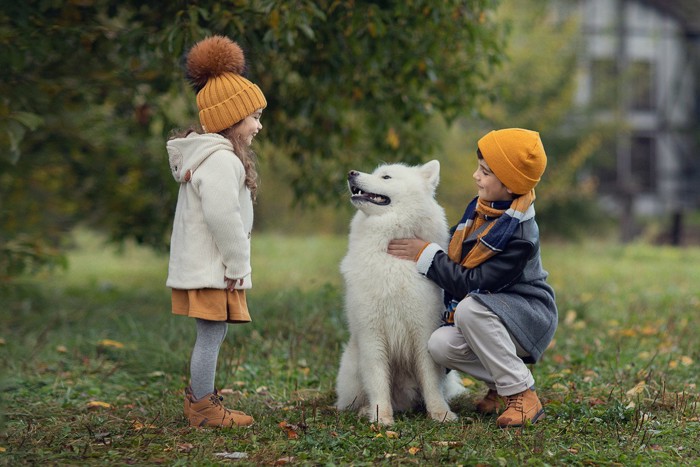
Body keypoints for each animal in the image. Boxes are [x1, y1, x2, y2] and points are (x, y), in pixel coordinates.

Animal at [334, 161, 462, 428]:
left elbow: (430, 380)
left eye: (386, 177)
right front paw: (381, 417)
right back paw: (365, 410)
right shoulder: (372, 334)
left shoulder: (423, 330)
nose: (351, 173)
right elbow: (378, 381)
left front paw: (440, 414)